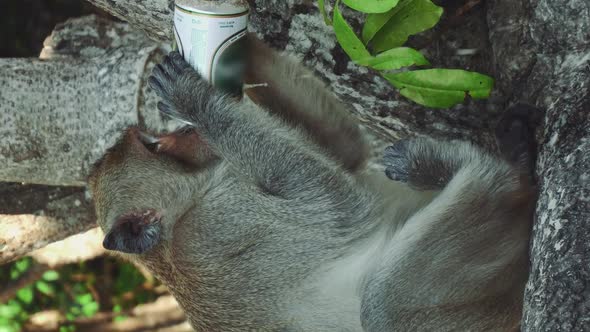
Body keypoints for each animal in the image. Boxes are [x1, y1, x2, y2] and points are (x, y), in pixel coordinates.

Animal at [90, 33, 540, 332]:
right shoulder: (225, 223)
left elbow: (346, 148)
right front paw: (194, 98)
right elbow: (339, 204)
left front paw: (243, 41)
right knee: (382, 303)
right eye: (154, 144)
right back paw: (484, 172)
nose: (188, 130)